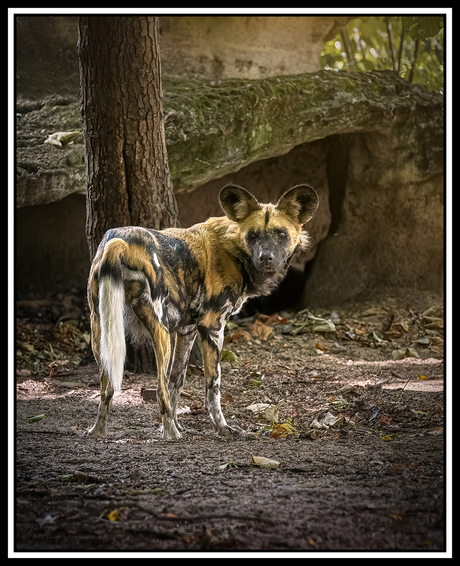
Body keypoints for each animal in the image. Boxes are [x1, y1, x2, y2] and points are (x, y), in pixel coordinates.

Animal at [86, 184, 318, 442]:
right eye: (252, 235)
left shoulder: (186, 330)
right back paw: (172, 435)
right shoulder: (212, 327)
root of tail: (120, 242)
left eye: (280, 234)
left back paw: (99, 431)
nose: (265, 257)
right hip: (161, 332)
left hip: (101, 329)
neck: (234, 249)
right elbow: (212, 388)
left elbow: (177, 382)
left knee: (107, 387)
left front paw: (174, 422)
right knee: (159, 388)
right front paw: (222, 428)